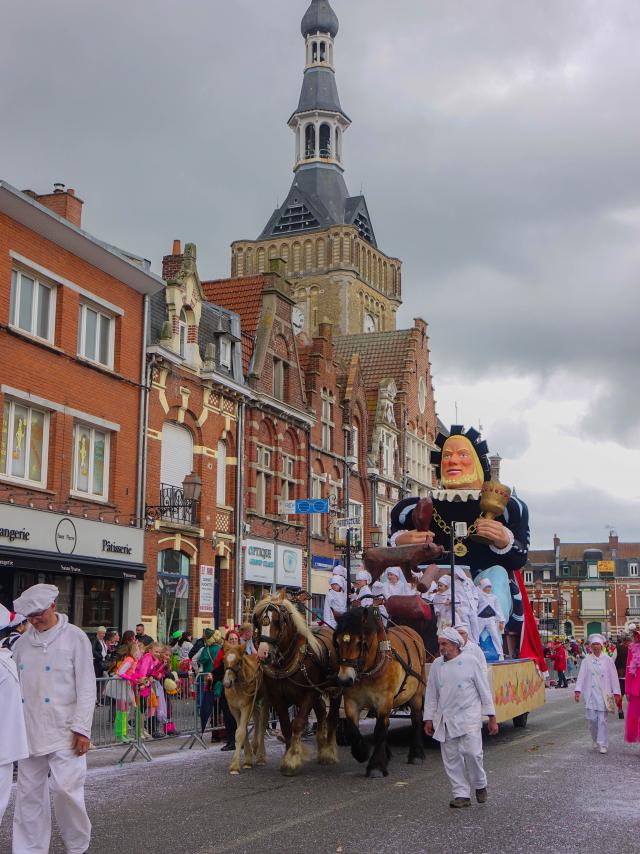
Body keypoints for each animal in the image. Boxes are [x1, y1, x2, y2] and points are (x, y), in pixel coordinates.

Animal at [222, 640, 268, 776]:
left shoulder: (246, 706)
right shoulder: (234, 709)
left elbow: (240, 732)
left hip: (265, 700)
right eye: (224, 661)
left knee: (263, 724)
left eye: (238, 661)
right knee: (257, 720)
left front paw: (235, 767)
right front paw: (247, 760)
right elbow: (243, 730)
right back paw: (255, 747)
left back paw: (260, 756)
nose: (226, 683)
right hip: (255, 702)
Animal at [254, 592, 340, 780]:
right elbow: (286, 726)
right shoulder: (277, 696)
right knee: (321, 711)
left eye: (277, 620)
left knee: (332, 717)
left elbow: (298, 723)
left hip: (336, 690)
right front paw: (288, 754)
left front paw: (292, 759)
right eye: (258, 620)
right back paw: (321, 746)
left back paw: (329, 752)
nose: (264, 654)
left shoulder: (308, 694)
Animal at [332, 604, 428, 780]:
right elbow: (353, 728)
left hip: (417, 693)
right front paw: (362, 752)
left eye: (361, 642)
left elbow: (380, 730)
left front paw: (376, 765)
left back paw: (416, 754)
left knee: (416, 719)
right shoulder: (351, 701)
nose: (344, 680)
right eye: (337, 642)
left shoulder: (385, 699)